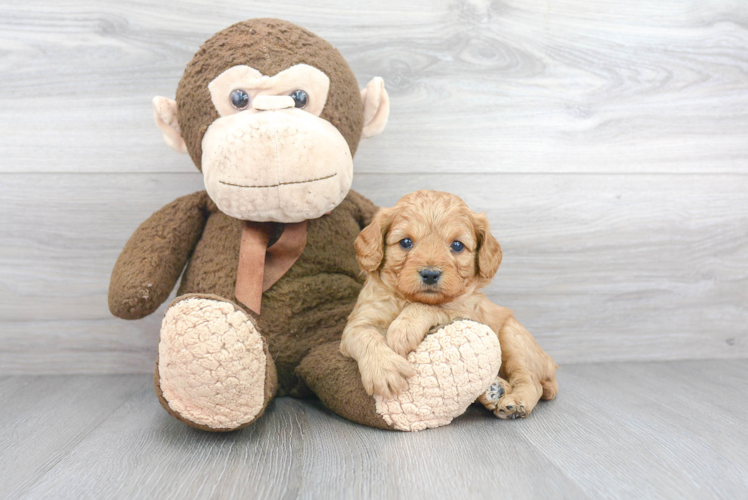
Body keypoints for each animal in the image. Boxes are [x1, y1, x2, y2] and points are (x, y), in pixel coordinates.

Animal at [342, 189, 560, 420]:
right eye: (405, 242)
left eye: (457, 245)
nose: (430, 274)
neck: (407, 299)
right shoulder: (358, 321)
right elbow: (364, 335)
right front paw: (384, 370)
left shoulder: (469, 310)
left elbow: (435, 307)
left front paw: (403, 329)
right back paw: (494, 390)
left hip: (513, 338)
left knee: (531, 380)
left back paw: (515, 402)